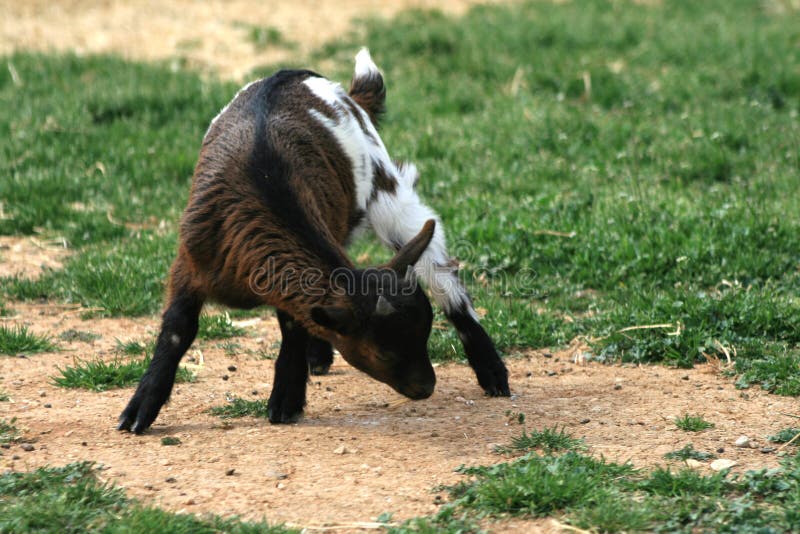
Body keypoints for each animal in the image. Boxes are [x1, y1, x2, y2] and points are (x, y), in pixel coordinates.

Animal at [118, 49, 510, 434]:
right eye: (384, 352)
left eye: (423, 337)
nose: (426, 388)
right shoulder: (191, 261)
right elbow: (178, 328)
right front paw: (139, 411)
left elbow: (293, 325)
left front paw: (286, 401)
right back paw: (319, 356)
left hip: (390, 194)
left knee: (443, 275)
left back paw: (492, 372)